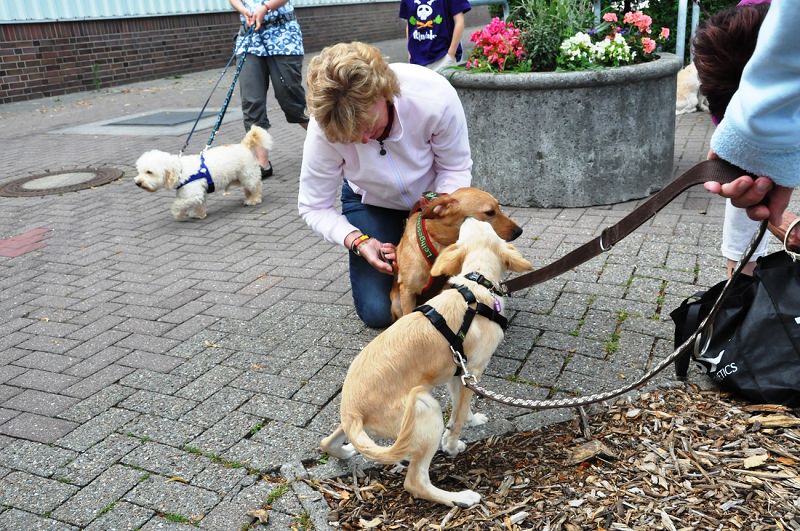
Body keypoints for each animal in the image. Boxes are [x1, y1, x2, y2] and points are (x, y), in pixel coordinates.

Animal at [136, 125, 274, 220]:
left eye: (149, 172)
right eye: (139, 171)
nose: (137, 183)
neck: (181, 171)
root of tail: (243, 145)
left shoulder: (193, 194)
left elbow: (178, 204)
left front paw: (178, 214)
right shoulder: (198, 193)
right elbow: (199, 204)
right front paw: (199, 214)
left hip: (248, 176)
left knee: (256, 186)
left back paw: (254, 199)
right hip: (241, 178)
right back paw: (249, 198)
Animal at [318, 219, 532, 508]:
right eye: (487, 225)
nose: (471, 219)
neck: (475, 285)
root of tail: (352, 411)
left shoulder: (458, 374)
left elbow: (461, 410)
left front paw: (472, 420)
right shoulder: (472, 372)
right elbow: (458, 417)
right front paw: (451, 445)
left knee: (326, 442)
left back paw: (346, 450)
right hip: (425, 409)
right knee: (415, 482)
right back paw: (461, 497)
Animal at [390, 187, 524, 320]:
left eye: (499, 207)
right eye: (490, 212)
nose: (519, 231)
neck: (438, 242)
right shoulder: (408, 291)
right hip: (396, 302)